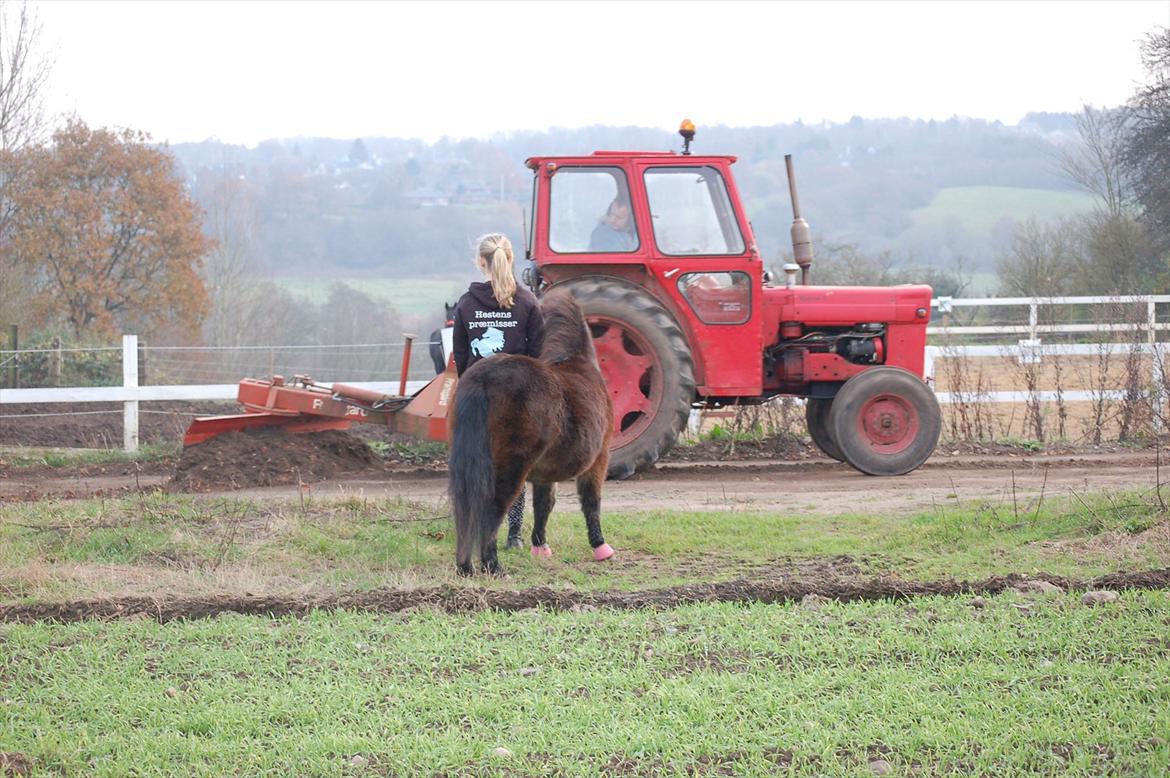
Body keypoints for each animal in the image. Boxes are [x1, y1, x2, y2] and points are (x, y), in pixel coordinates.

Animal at [444, 287, 613, 573]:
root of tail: (483, 378)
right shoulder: (599, 459)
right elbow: (591, 501)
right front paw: (600, 546)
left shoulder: (545, 472)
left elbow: (544, 504)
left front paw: (540, 546)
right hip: (511, 466)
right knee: (492, 508)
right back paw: (493, 566)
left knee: (465, 509)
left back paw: (466, 566)